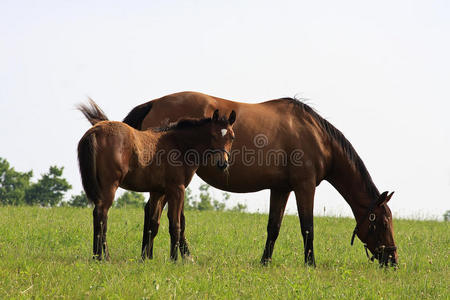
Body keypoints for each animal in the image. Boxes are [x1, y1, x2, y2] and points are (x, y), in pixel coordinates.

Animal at [78, 99, 237, 262]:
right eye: (213, 135)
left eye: (232, 137)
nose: (222, 163)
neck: (178, 145)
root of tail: (95, 131)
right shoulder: (177, 189)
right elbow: (175, 225)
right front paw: (174, 260)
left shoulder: (158, 191)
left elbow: (153, 224)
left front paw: (146, 259)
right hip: (110, 186)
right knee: (101, 215)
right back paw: (103, 257)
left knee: (99, 216)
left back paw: (97, 256)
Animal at [122, 91, 398, 268]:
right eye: (383, 223)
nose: (393, 260)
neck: (316, 137)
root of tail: (154, 103)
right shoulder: (304, 187)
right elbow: (307, 227)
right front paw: (310, 263)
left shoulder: (281, 189)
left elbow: (273, 227)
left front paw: (265, 261)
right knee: (159, 215)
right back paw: (173, 257)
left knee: (155, 214)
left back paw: (149, 256)